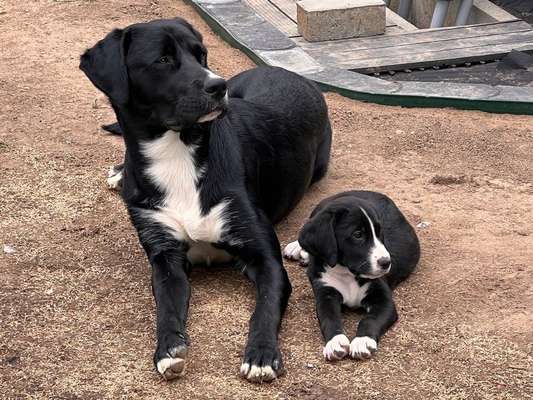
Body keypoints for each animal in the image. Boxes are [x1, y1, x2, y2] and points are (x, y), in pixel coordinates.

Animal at [79, 18, 330, 384]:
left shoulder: (264, 258)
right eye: (163, 60)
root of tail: (286, 71)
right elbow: (166, 308)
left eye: (202, 55)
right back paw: (120, 173)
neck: (177, 153)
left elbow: (265, 306)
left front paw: (261, 354)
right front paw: (167, 349)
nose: (218, 85)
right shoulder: (165, 257)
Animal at [282, 191, 420, 360]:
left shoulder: (383, 300)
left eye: (379, 232)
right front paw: (335, 341)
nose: (386, 262)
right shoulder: (325, 294)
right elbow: (329, 317)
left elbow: (370, 319)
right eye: (358, 235)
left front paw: (362, 341)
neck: (347, 273)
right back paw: (297, 248)